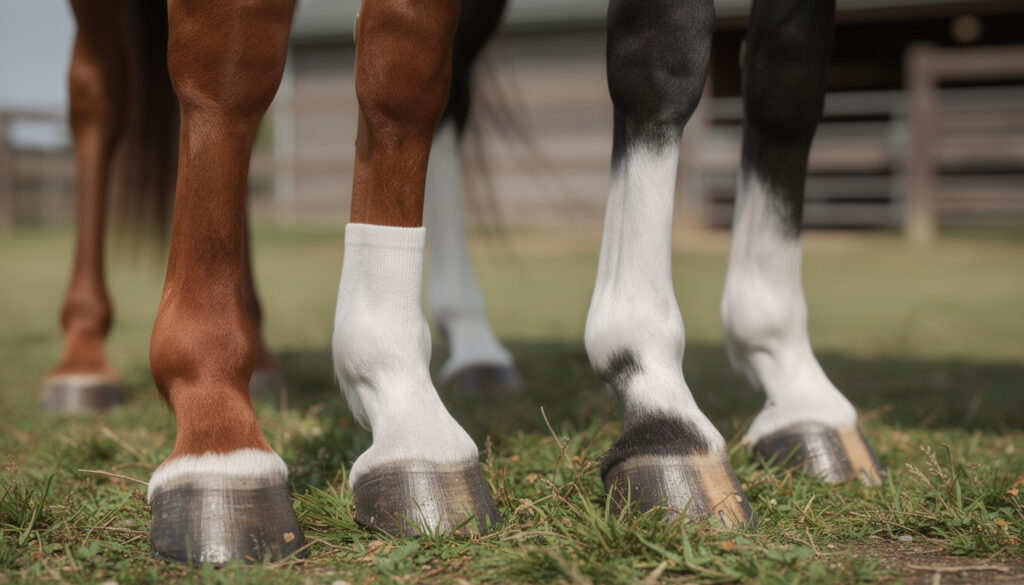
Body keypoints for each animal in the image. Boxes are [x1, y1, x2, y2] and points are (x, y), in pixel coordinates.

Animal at [48, 0, 884, 566]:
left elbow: (779, 81)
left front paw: (784, 384)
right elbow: (239, 61)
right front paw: (221, 439)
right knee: (96, 95)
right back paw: (84, 360)